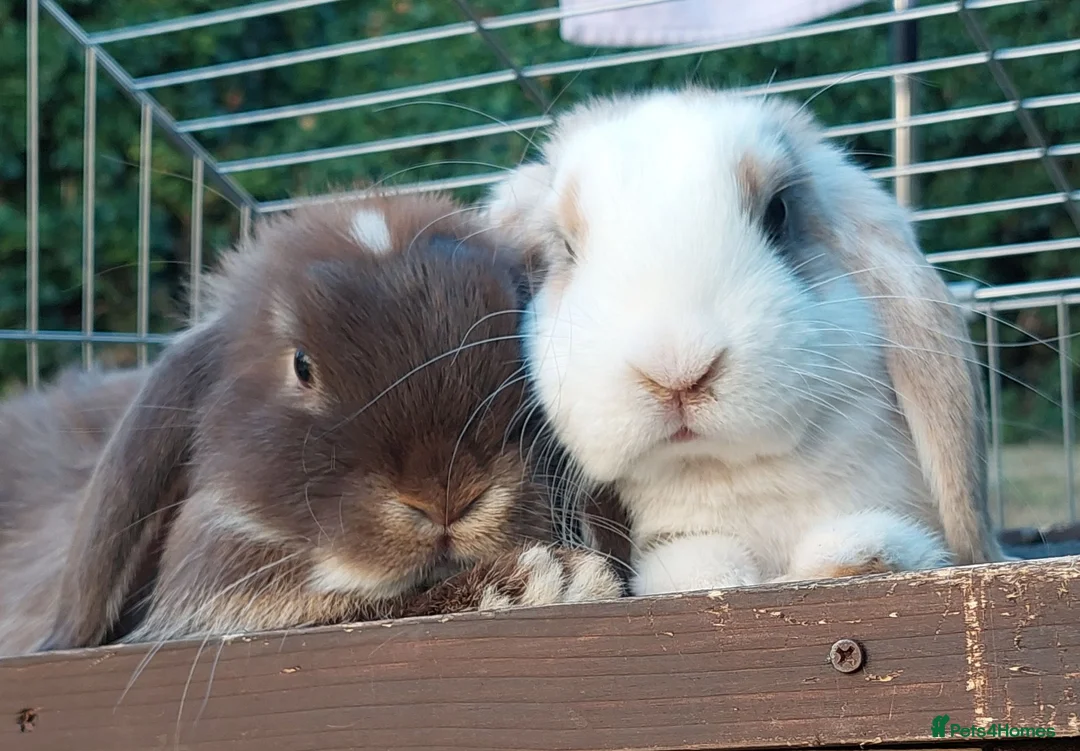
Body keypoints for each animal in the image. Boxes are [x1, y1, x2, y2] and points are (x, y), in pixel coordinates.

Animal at [478, 85, 1006, 596]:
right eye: (564, 248)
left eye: (778, 211)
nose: (676, 371)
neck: (724, 472)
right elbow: (703, 567)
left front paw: (862, 556)